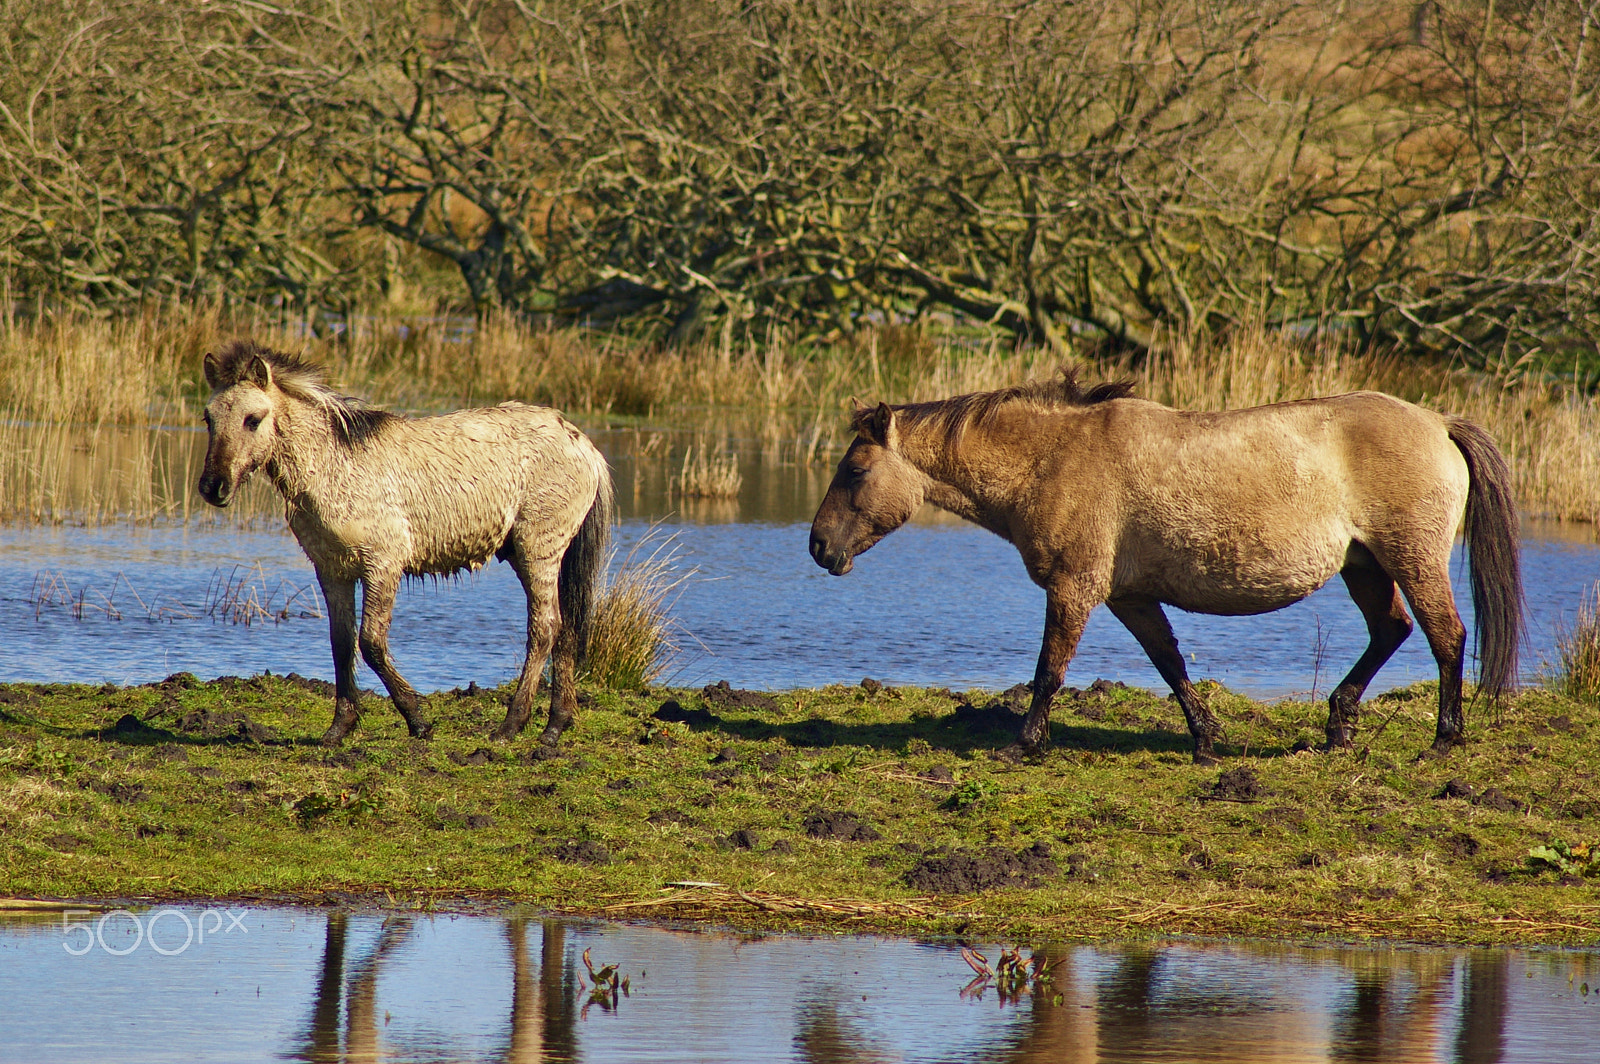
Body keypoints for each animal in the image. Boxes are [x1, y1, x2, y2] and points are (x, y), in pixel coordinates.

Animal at [204, 340, 611, 745]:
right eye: (208, 418)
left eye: (253, 419)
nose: (213, 487)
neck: (334, 467)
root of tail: (584, 444)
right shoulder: (332, 570)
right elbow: (341, 643)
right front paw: (339, 728)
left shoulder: (382, 565)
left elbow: (371, 643)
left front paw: (418, 720)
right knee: (566, 629)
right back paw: (556, 724)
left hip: (537, 549)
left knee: (545, 629)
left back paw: (511, 726)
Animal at [812, 369, 1523, 758]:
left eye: (855, 471)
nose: (818, 547)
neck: (1055, 456)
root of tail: (1439, 421)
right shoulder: (1127, 596)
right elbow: (1170, 664)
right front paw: (1206, 740)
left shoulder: (1073, 588)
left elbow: (1048, 671)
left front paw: (1023, 744)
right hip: (1365, 567)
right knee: (1391, 631)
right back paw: (1338, 727)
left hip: (1412, 558)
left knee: (1446, 636)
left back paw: (1443, 740)